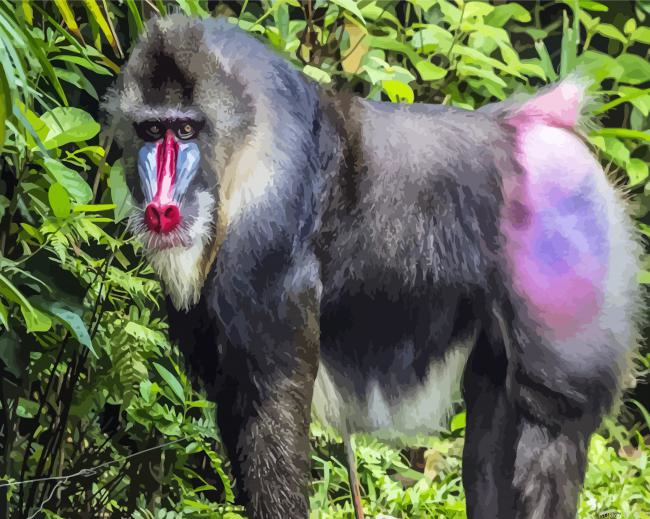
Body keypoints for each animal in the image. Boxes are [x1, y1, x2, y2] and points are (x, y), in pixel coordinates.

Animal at [105, 14, 642, 519]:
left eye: (186, 130)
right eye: (152, 131)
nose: (161, 209)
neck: (244, 147)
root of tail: (533, 124)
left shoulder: (270, 276)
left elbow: (273, 410)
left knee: (547, 429)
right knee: (488, 444)